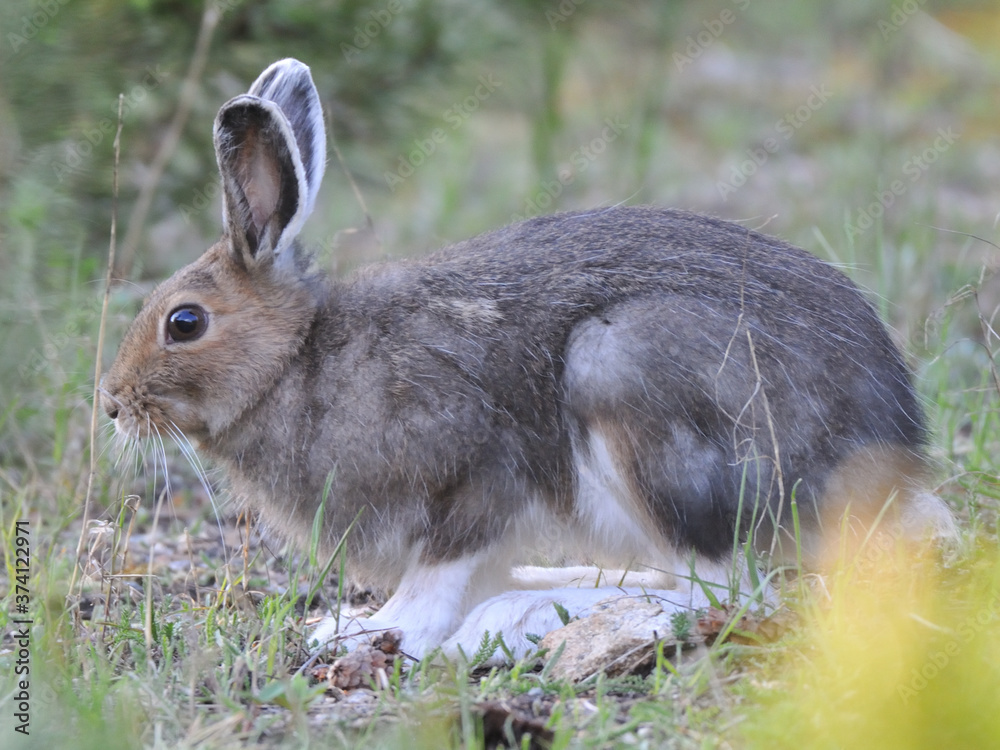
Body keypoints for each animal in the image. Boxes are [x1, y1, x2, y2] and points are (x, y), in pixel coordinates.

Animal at [101, 58, 955, 663]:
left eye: (184, 322)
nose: (111, 402)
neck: (296, 363)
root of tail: (888, 460)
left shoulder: (473, 478)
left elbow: (434, 583)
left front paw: (383, 632)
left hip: (630, 385)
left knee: (729, 593)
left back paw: (523, 620)